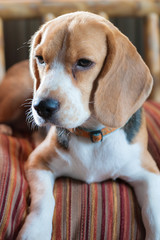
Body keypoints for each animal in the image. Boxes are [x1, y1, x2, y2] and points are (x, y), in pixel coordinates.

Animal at [0, 11, 159, 240]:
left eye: (84, 62)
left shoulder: (148, 171)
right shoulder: (37, 162)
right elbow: (44, 201)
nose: (41, 107)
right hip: (15, 96)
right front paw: (35, 231)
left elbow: (153, 212)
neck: (93, 135)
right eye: (40, 59)